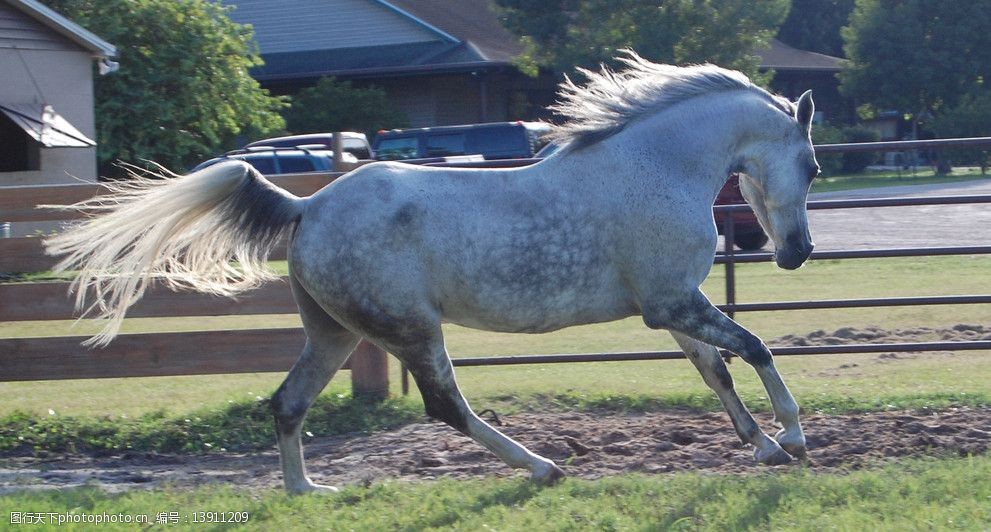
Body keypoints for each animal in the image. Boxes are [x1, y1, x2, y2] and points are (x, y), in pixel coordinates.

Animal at [46, 52, 816, 492]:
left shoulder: (671, 304)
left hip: (333, 333)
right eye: (809, 165)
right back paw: (542, 467)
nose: (797, 253)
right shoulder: (671, 303)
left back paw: (309, 493)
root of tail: (307, 206)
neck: (654, 166)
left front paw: (762, 448)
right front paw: (793, 438)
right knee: (446, 406)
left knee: (288, 404)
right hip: (411, 330)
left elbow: (715, 372)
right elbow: (754, 347)